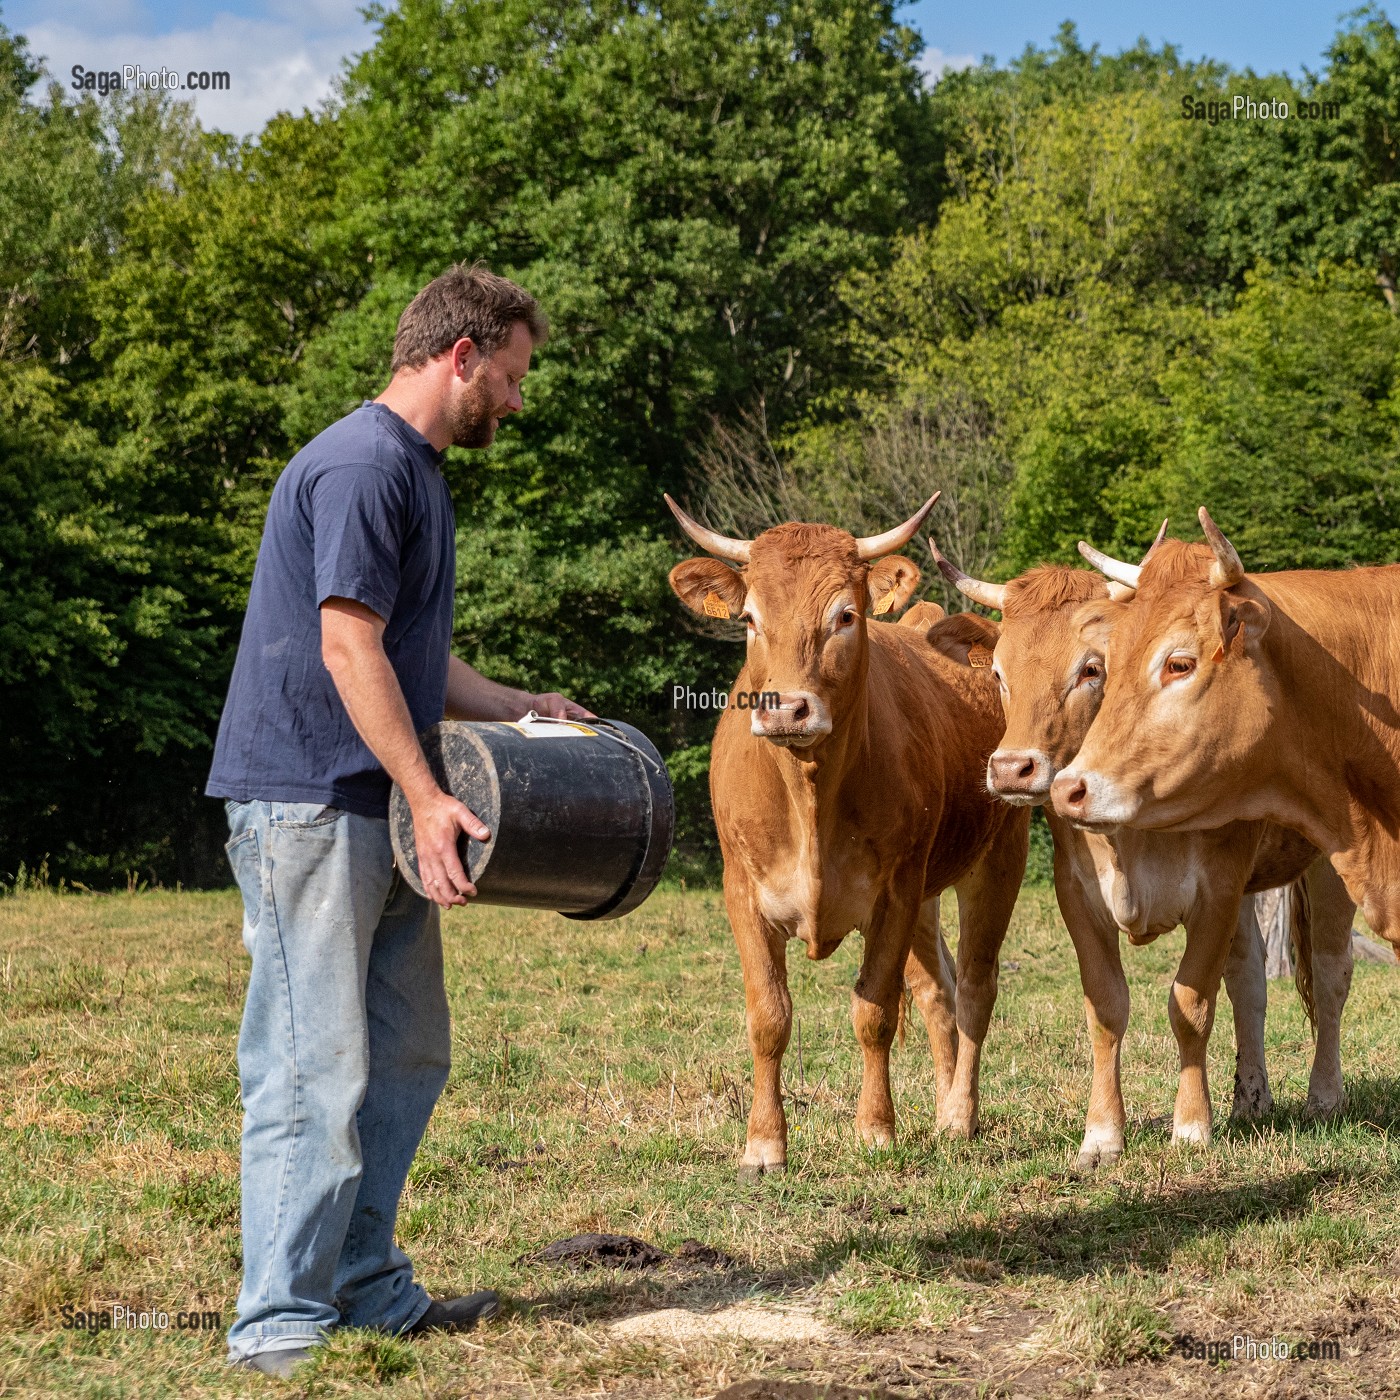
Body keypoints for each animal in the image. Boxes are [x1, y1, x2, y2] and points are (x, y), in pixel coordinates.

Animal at [665, 493, 1029, 1176]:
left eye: (845, 615)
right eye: (749, 617)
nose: (785, 709)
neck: (809, 800)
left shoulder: (895, 893)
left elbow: (873, 1011)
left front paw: (876, 1128)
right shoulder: (742, 891)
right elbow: (769, 1016)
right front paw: (764, 1144)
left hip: (996, 859)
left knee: (975, 984)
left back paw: (960, 1116)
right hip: (928, 895)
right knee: (938, 993)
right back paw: (943, 1106)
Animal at [928, 533, 1356, 1163]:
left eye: (1092, 668)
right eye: (1000, 674)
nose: (1011, 768)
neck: (1130, 836)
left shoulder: (1216, 890)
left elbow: (1191, 1004)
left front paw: (1192, 1124)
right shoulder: (1080, 895)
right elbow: (1107, 1007)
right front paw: (1103, 1133)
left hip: (1329, 867)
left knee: (1329, 973)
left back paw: (1323, 1096)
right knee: (1249, 978)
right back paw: (1250, 1099)